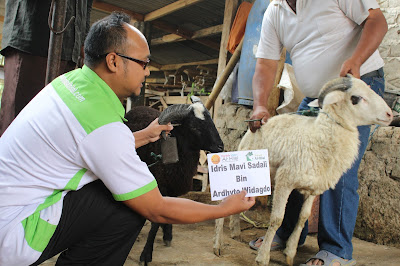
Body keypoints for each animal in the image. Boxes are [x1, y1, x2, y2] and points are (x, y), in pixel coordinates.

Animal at [124, 96, 223, 264]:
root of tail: (139, 107)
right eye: (194, 127)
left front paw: (167, 234)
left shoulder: (173, 185)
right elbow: (155, 222)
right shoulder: (161, 187)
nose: (221, 147)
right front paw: (146, 254)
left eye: (211, 122)